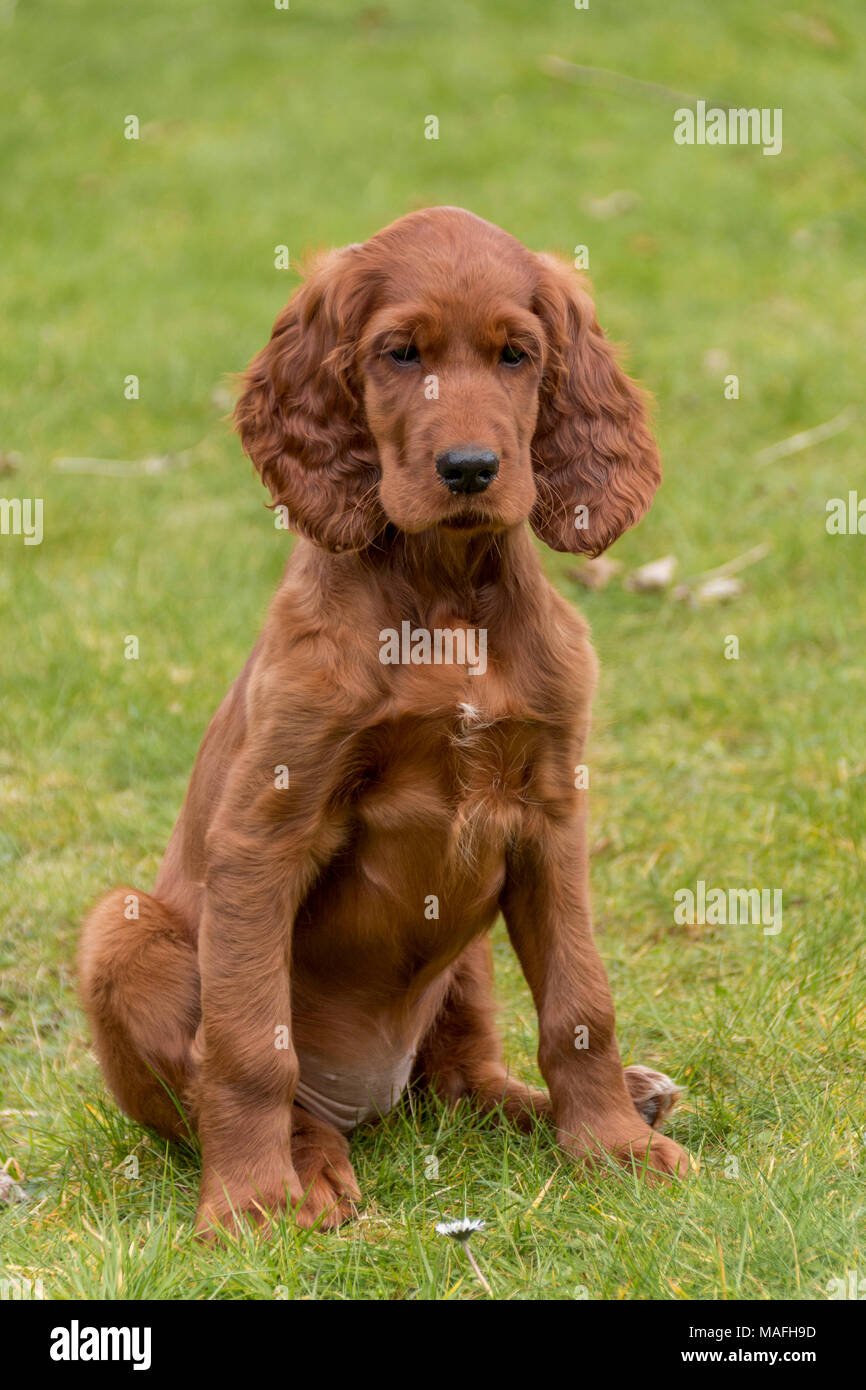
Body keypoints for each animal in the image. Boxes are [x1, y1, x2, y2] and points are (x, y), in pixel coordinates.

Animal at [81, 208, 692, 1239]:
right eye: (400, 353)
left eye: (517, 354)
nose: (471, 469)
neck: (443, 595)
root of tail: (365, 1105)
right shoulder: (264, 827)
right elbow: (247, 1046)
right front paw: (250, 1202)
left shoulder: (551, 816)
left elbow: (580, 1006)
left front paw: (613, 1147)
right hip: (117, 932)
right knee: (251, 1090)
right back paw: (309, 1164)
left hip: (468, 954)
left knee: (464, 1078)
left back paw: (603, 1102)